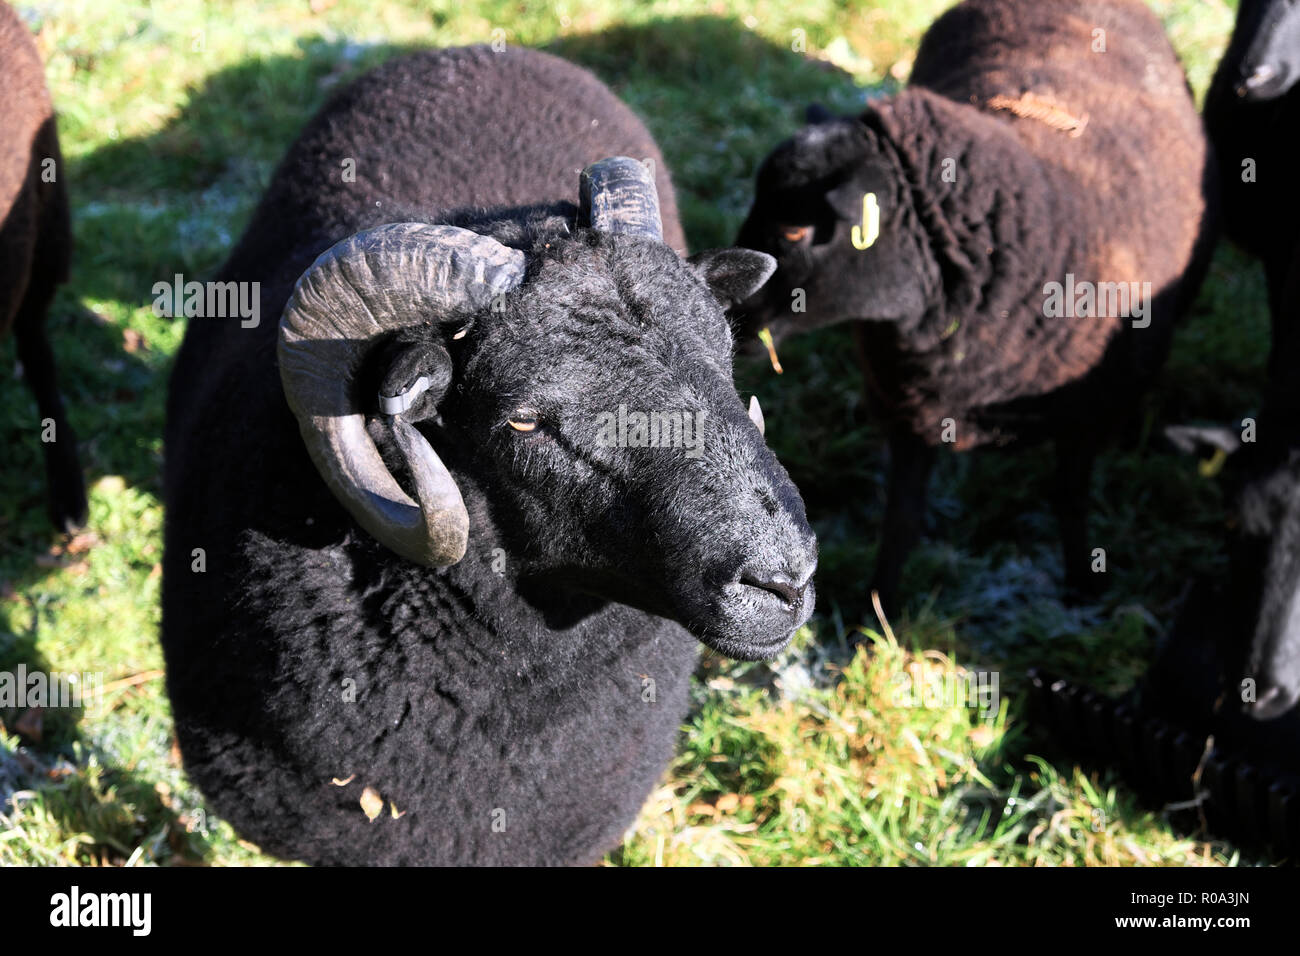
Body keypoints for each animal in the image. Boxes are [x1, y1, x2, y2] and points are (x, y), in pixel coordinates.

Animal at [733, 0, 1216, 612]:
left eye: (795, 230)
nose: (728, 315)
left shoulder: (1091, 411)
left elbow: (1069, 498)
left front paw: (1082, 585)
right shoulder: (906, 408)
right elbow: (901, 520)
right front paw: (880, 610)